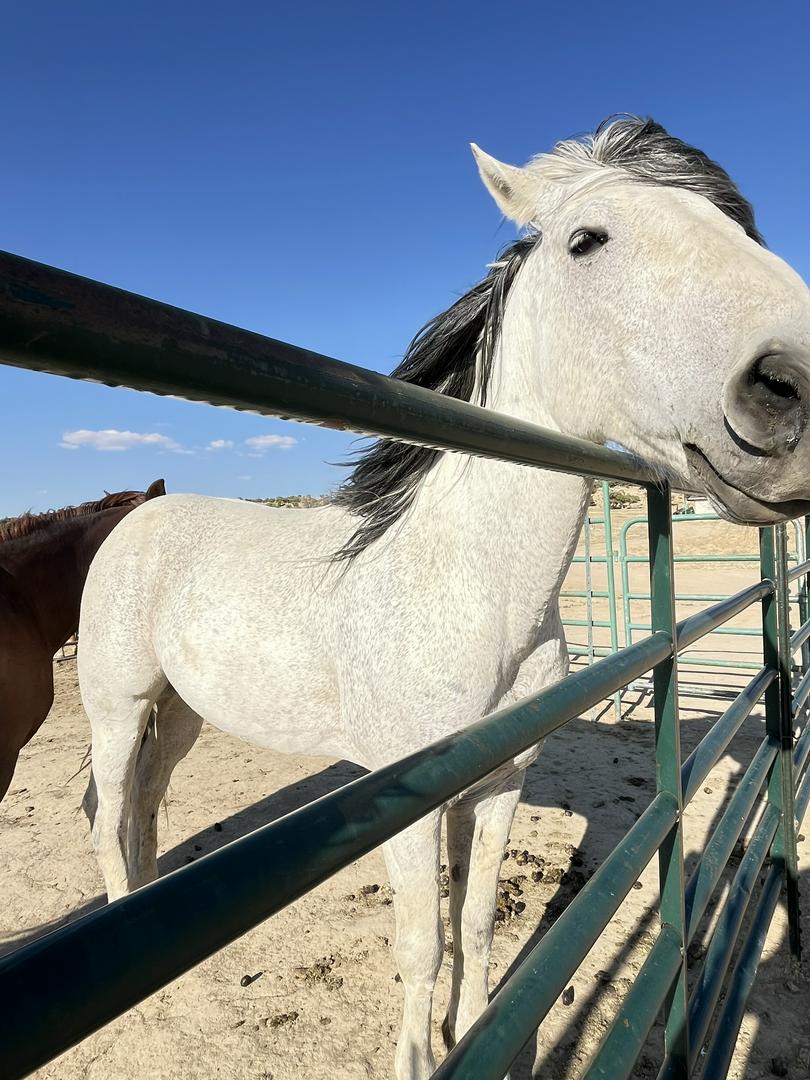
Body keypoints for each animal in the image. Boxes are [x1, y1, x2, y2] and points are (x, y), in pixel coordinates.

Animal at [77, 116, 810, 1079]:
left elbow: (477, 922)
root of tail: (139, 514)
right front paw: (418, 1058)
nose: (794, 386)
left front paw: (479, 1029)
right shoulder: (406, 802)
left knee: (147, 804)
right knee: (110, 815)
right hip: (119, 707)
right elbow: (422, 943)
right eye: (587, 240)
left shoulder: (498, 785)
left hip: (184, 712)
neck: (469, 592)